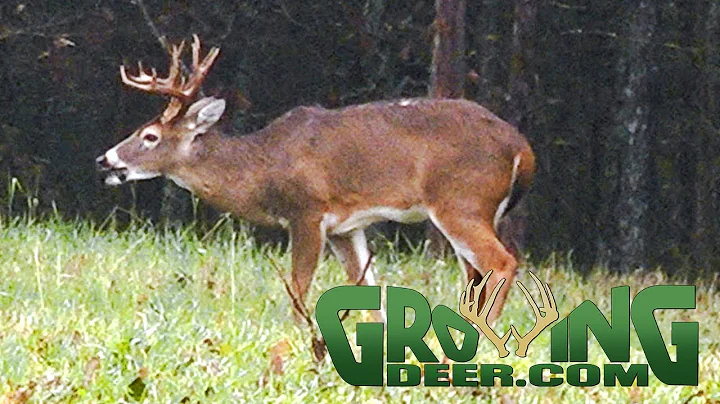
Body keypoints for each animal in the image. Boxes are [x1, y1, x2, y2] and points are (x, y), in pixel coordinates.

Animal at [96, 35, 536, 323]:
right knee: (477, 276)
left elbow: (298, 288)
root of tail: (522, 149)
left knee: (502, 262)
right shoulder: (346, 226)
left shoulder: (307, 211)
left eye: (150, 136)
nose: (105, 160)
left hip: (460, 201)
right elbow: (369, 292)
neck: (264, 166)